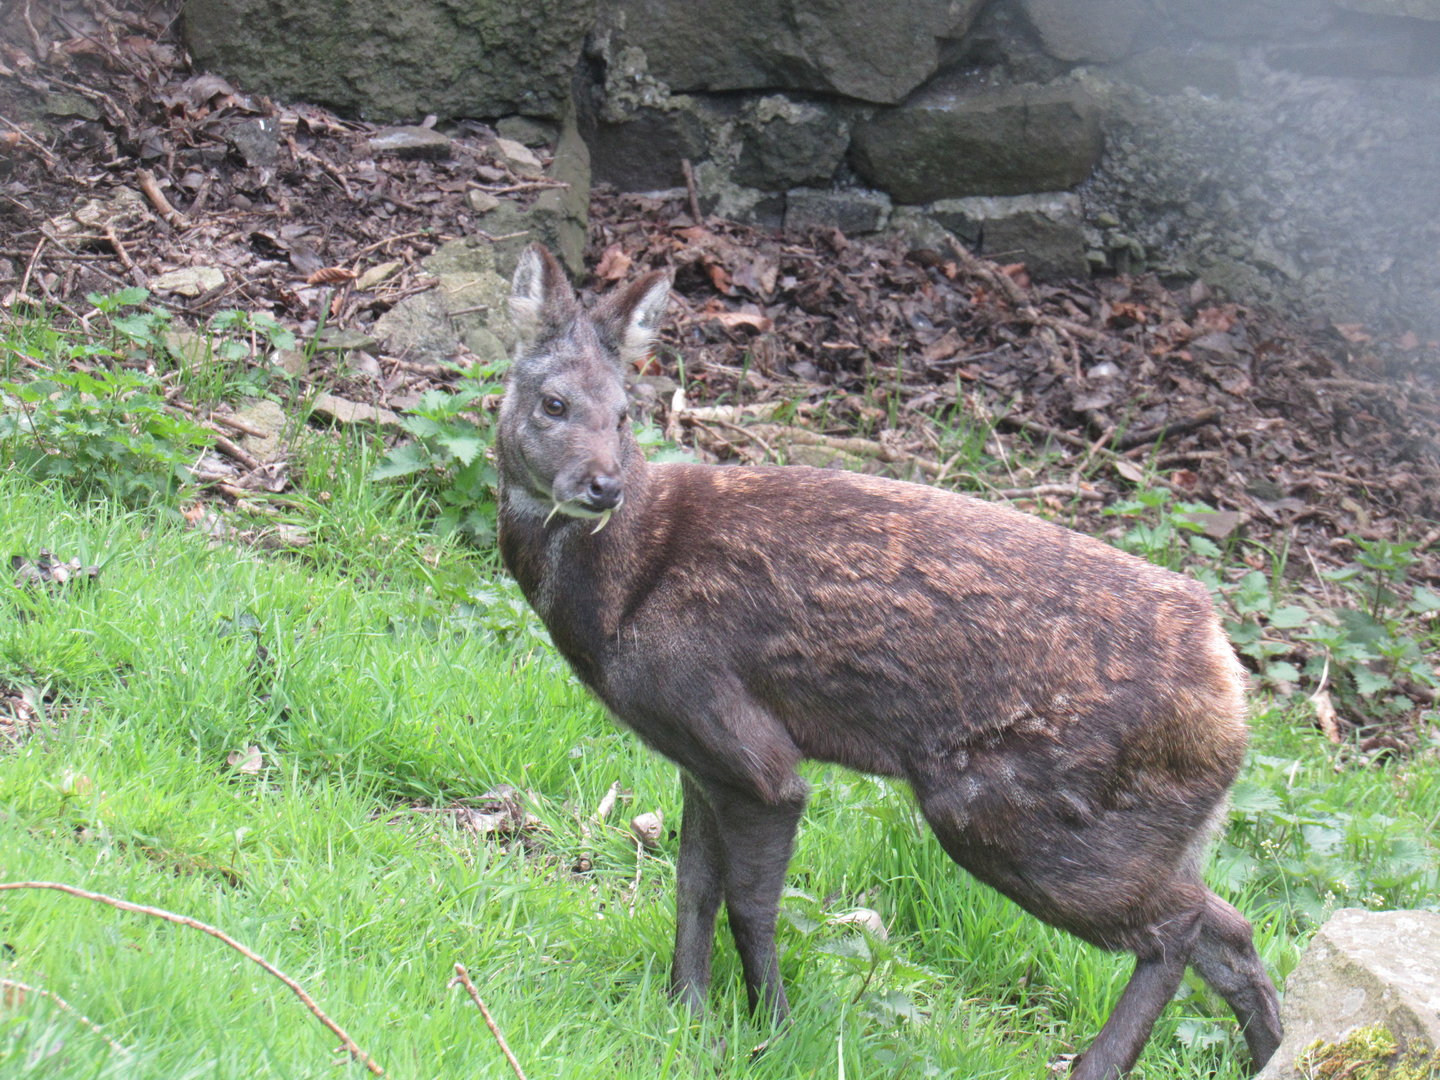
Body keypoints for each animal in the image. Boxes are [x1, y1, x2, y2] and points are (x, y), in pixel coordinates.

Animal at [495, 243, 1282, 1080]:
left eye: (623, 414)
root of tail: (1229, 681)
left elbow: (749, 901)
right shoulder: (695, 760)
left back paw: (1099, 1064)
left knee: (1182, 925)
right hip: (1137, 832)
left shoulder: (746, 747)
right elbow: (691, 888)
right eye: (553, 403)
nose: (602, 486)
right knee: (1229, 925)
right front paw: (687, 1015)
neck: (627, 586)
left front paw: (773, 1028)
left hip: (1011, 812)